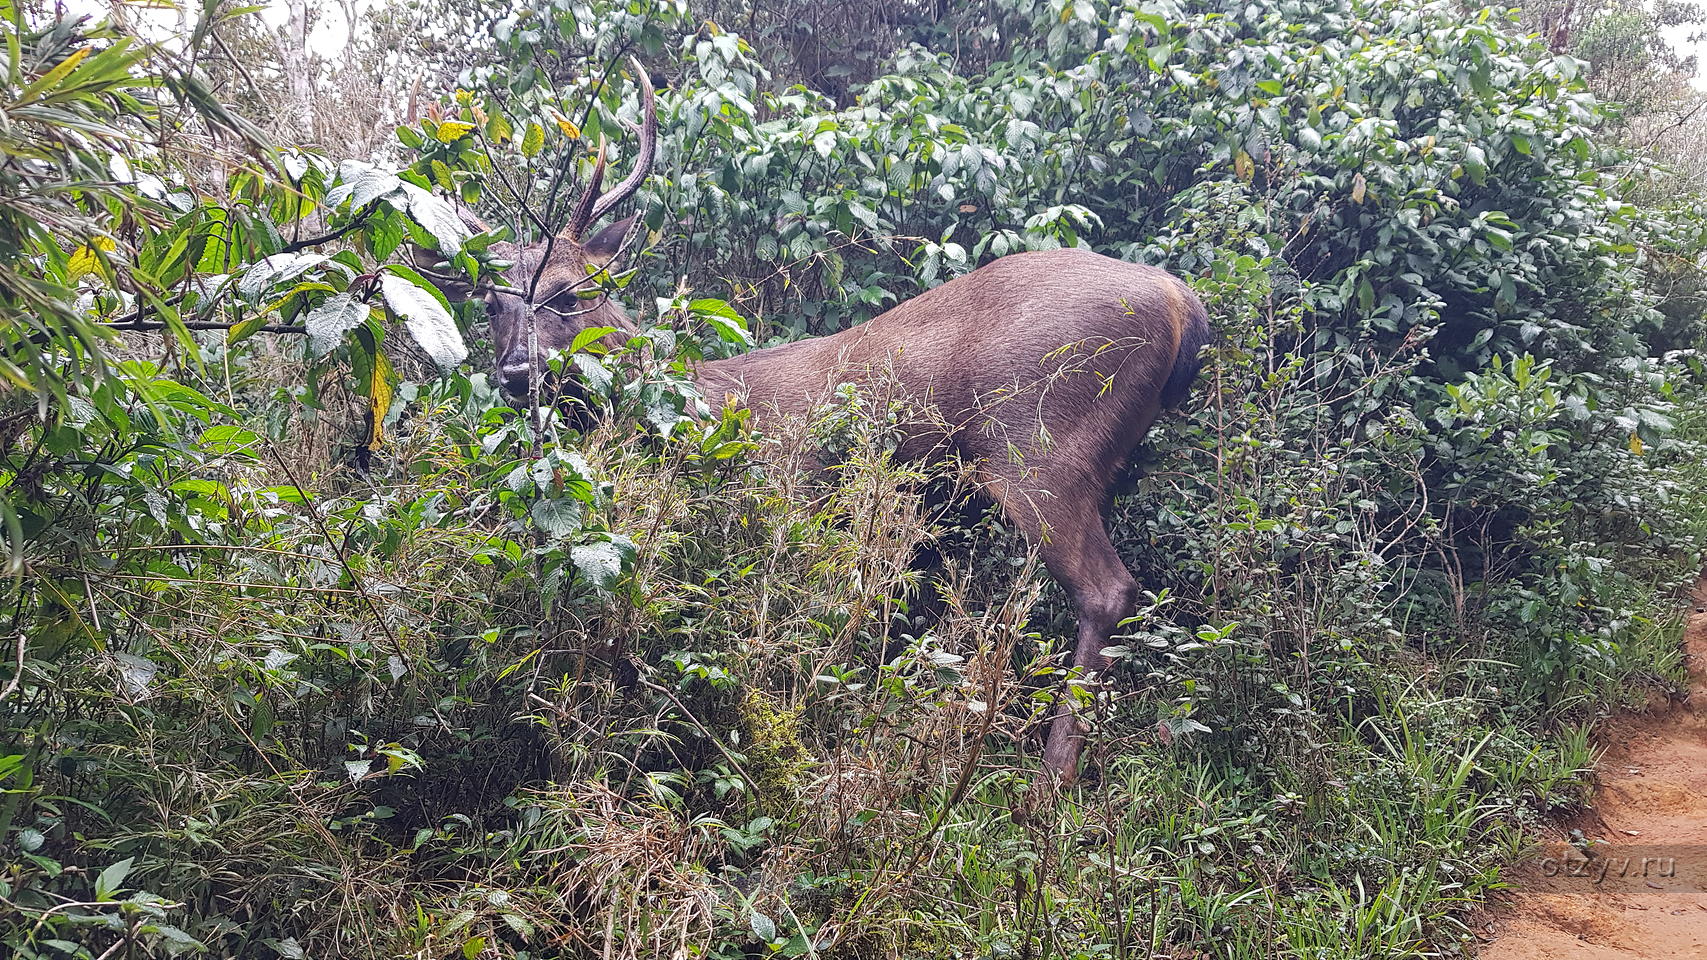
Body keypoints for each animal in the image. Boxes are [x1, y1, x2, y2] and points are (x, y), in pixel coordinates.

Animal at [419, 58, 1208, 778]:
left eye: (568, 293)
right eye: (489, 303)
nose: (516, 374)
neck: (696, 411)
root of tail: (1182, 302)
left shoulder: (792, 493)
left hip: (1038, 446)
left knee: (1107, 589)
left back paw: (1051, 779)